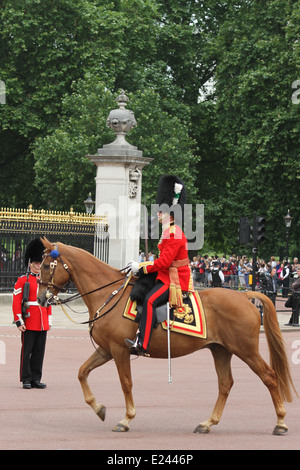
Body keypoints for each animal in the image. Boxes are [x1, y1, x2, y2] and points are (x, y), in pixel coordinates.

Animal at [37, 239, 296, 436]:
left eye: (48, 265)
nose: (40, 298)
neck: (107, 294)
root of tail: (244, 296)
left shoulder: (119, 349)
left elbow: (126, 382)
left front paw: (126, 418)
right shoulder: (106, 349)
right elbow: (82, 372)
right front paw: (99, 408)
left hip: (246, 350)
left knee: (270, 377)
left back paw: (281, 423)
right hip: (221, 350)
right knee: (225, 384)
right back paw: (208, 423)